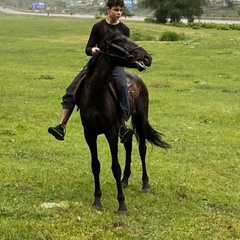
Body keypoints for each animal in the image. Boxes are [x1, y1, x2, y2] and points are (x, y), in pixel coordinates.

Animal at [74, 28, 170, 214]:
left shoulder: (111, 132)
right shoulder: (89, 134)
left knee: (142, 148)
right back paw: (125, 180)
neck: (96, 94)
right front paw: (97, 201)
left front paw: (122, 205)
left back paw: (145, 184)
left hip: (140, 118)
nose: (147, 57)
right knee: (128, 144)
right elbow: (95, 165)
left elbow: (115, 167)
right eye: (121, 40)